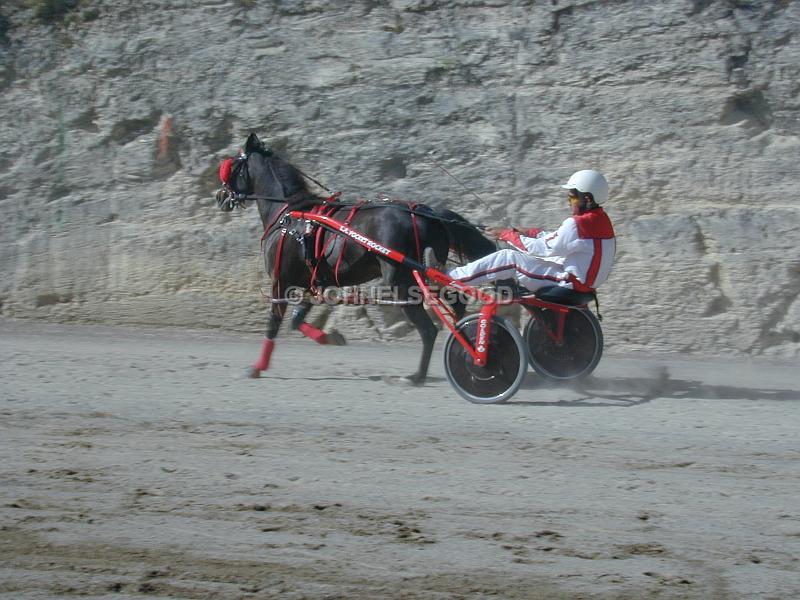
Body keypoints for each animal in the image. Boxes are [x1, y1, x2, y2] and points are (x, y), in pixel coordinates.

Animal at [217, 133, 494, 384]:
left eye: (231, 166)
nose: (220, 197)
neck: (290, 215)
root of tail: (429, 214)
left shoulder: (281, 280)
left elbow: (274, 321)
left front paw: (257, 367)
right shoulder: (311, 281)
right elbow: (296, 320)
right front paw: (329, 337)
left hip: (403, 281)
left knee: (428, 329)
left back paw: (418, 375)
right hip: (429, 274)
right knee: (456, 302)